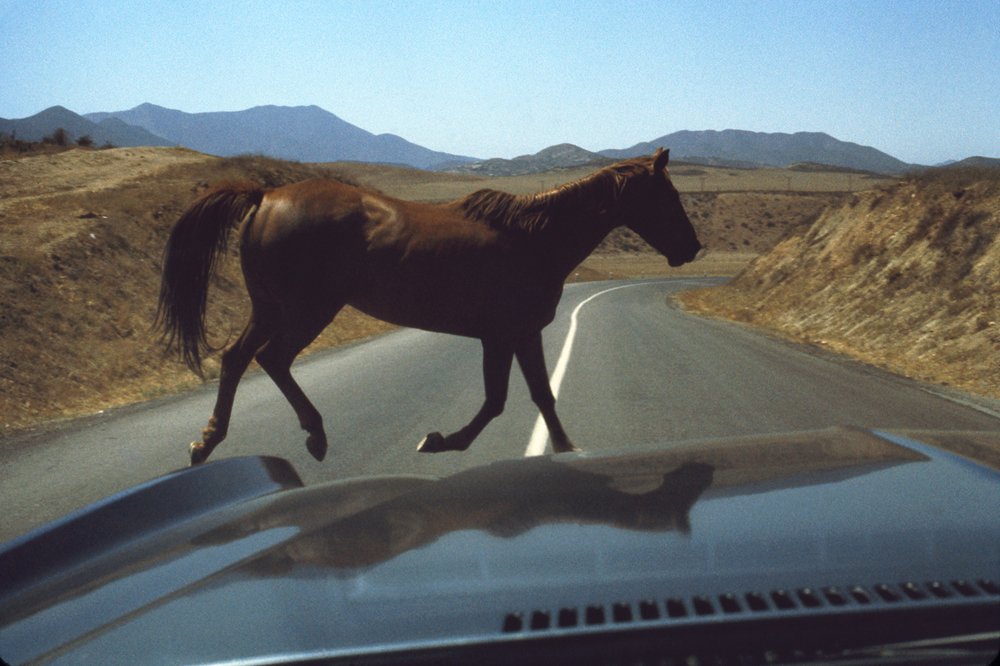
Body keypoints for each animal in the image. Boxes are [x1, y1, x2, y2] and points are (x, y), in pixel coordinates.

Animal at [156, 148, 701, 465]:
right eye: (668, 195)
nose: (692, 247)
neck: (534, 241)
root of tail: (266, 195)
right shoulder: (500, 336)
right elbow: (497, 402)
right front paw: (440, 441)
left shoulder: (524, 334)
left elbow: (542, 397)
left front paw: (567, 450)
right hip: (306, 310)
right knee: (271, 358)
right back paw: (314, 436)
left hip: (270, 308)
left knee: (236, 358)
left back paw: (208, 441)